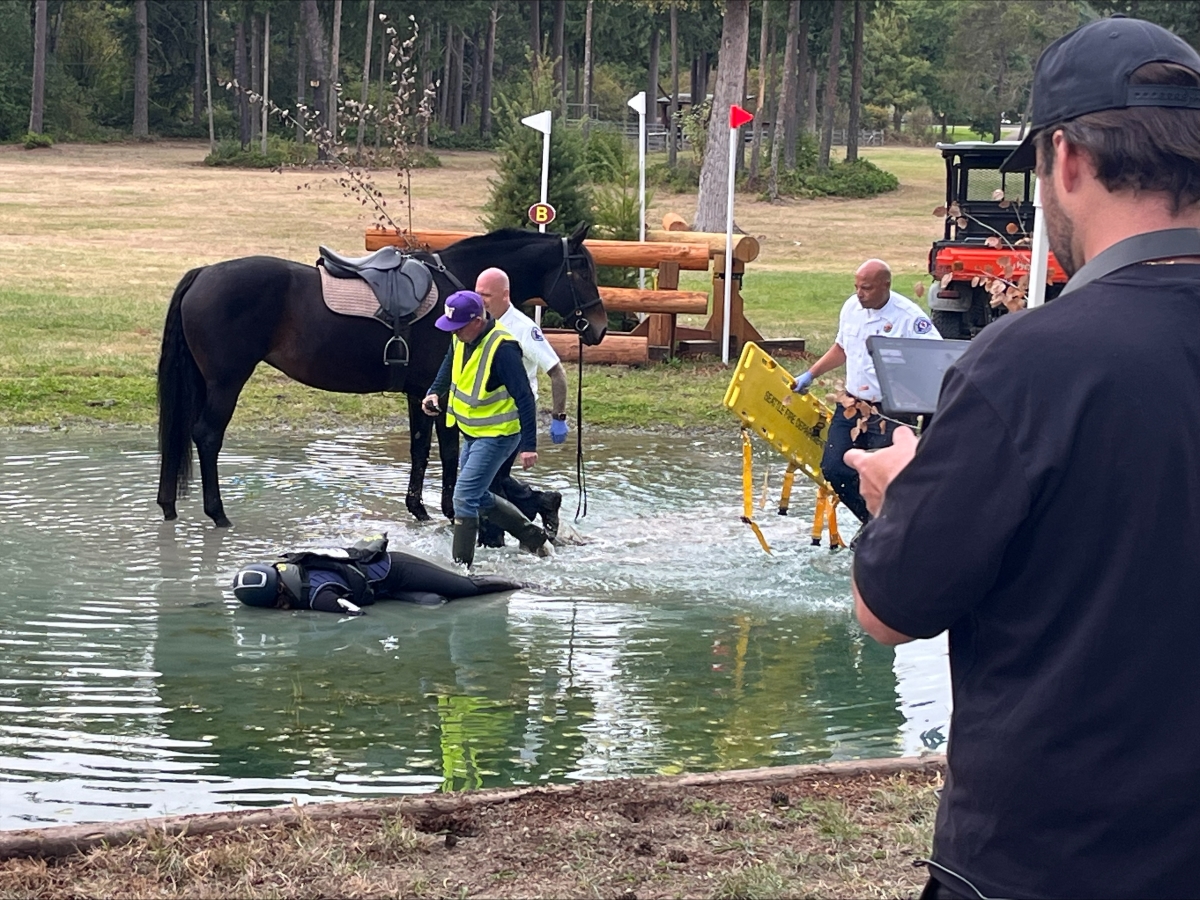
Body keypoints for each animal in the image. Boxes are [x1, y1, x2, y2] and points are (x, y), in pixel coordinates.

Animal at [156, 225, 607, 528]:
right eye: (582, 269)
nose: (599, 328)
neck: (460, 289)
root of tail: (204, 273)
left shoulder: (420, 393)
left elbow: (419, 449)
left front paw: (419, 508)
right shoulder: (439, 393)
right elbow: (445, 451)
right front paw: (445, 510)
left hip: (204, 382)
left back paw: (169, 505)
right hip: (226, 382)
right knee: (207, 437)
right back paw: (217, 514)